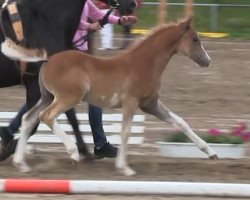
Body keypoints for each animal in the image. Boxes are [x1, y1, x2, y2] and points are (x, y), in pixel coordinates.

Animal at [13, 16, 218, 176]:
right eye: (194, 39)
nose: (207, 61)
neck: (144, 64)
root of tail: (48, 60)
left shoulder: (151, 104)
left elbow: (180, 122)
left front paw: (211, 152)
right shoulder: (131, 102)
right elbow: (125, 132)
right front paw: (124, 168)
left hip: (47, 97)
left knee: (28, 118)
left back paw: (21, 164)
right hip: (68, 98)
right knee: (46, 116)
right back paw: (73, 153)